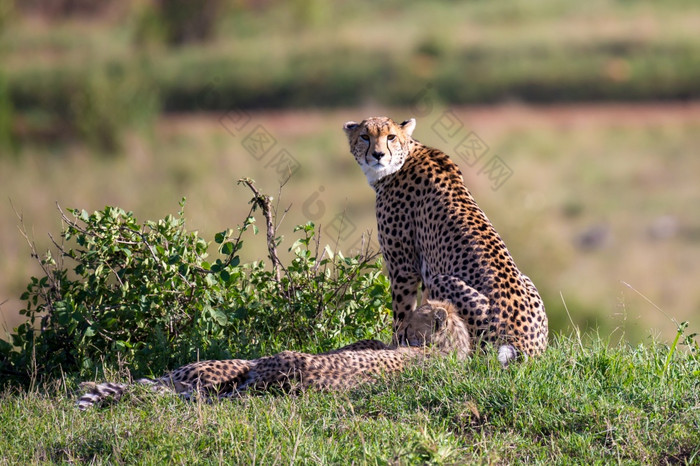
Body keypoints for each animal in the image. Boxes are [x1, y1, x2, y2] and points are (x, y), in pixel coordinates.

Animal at [344, 115, 548, 364]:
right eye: (365, 136)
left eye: (390, 136)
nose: (378, 155)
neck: (404, 158)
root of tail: (529, 346)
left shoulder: (403, 267)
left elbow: (402, 312)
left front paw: (394, 345)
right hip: (526, 281)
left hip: (442, 281)